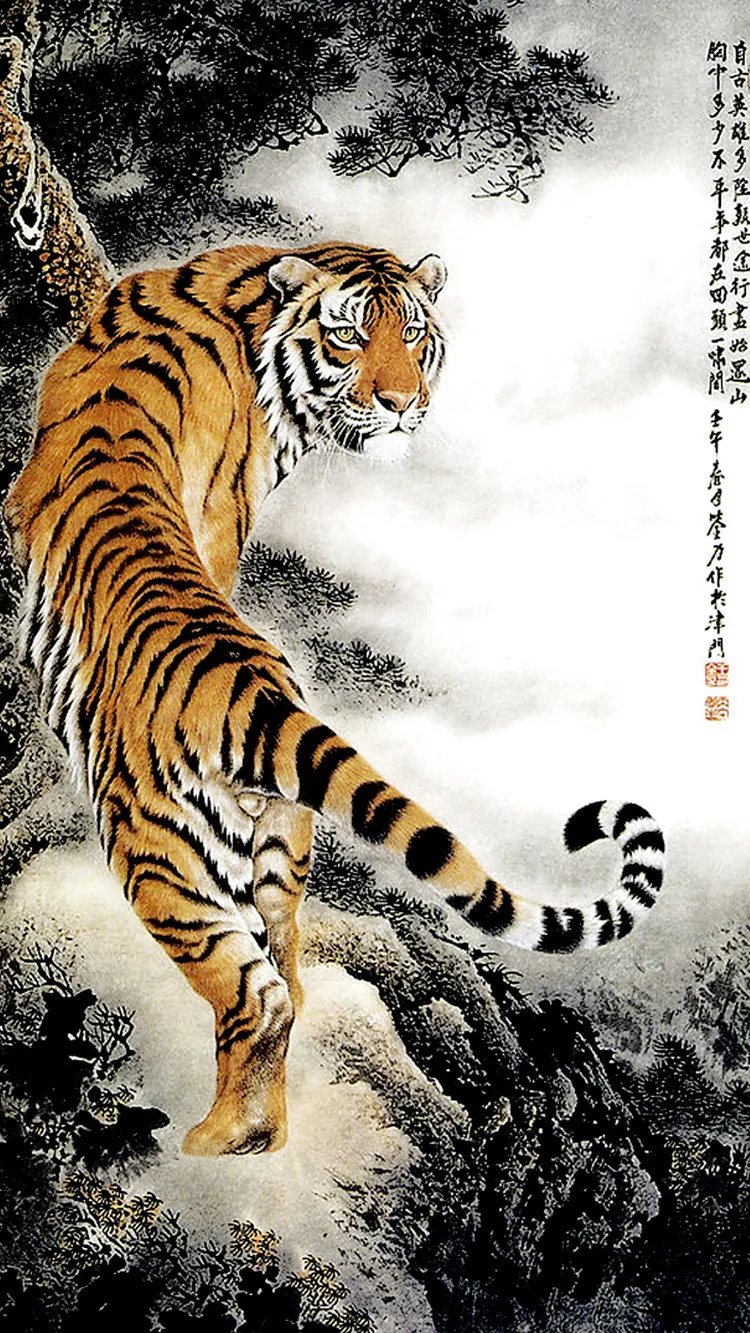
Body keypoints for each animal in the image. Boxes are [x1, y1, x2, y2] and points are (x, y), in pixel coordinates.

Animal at [5, 241, 665, 1156]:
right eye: (350, 335)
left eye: (413, 335)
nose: (401, 404)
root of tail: (256, 696)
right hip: (277, 850)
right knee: (287, 974)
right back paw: (264, 1136)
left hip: (156, 857)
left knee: (256, 994)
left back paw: (215, 1143)